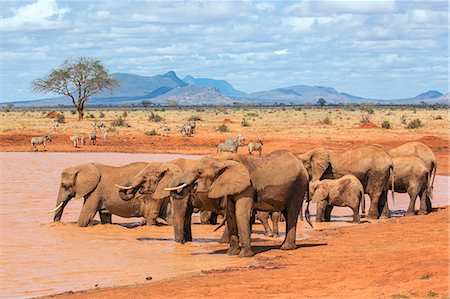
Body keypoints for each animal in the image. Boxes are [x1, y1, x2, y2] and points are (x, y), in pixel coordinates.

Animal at [167, 150, 312, 258]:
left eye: (199, 172)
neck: (223, 160)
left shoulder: (248, 187)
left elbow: (240, 213)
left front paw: (244, 256)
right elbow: (231, 214)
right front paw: (231, 254)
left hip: (299, 185)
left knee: (292, 212)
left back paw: (286, 248)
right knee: (288, 214)